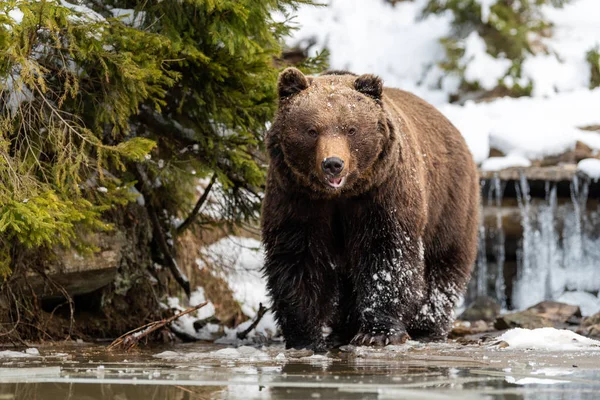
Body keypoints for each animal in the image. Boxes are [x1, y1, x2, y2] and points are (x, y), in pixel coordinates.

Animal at [262, 69, 478, 350]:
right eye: (312, 130)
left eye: (351, 129)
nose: (333, 164)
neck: (340, 194)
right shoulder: (298, 199)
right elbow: (298, 258)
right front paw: (305, 337)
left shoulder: (381, 194)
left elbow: (386, 255)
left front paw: (378, 332)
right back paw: (342, 330)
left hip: (449, 203)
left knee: (443, 264)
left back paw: (426, 327)